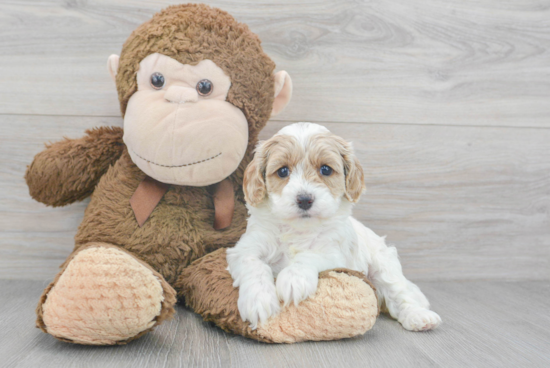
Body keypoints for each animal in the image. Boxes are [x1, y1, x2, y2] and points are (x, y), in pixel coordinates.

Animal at [226, 123, 442, 330]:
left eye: (326, 169)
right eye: (283, 171)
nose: (304, 199)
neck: (299, 229)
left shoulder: (334, 253)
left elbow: (309, 256)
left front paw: (294, 279)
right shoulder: (246, 248)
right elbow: (254, 265)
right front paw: (258, 300)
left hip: (384, 265)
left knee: (400, 294)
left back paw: (419, 316)